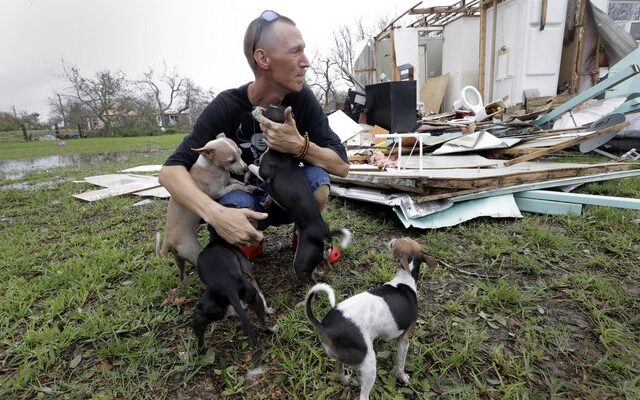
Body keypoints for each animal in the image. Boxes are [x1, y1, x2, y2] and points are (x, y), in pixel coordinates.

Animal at [156, 134, 254, 284]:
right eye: (231, 161)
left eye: (241, 154)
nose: (246, 169)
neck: (213, 167)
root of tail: (168, 241)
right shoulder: (218, 191)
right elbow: (235, 187)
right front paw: (248, 188)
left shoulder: (228, 181)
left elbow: (236, 182)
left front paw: (250, 185)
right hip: (193, 252)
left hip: (178, 259)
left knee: (181, 276)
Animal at [251, 104, 348, 282]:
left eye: (267, 109)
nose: (255, 106)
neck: (281, 151)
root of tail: (325, 237)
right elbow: (268, 196)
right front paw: (266, 202)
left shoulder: (264, 173)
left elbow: (251, 166)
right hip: (319, 256)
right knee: (327, 266)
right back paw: (321, 272)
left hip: (301, 262)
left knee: (310, 281)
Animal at [304, 238, 436, 400]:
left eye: (397, 242)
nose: (391, 239)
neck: (404, 279)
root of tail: (326, 327)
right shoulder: (404, 339)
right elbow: (400, 363)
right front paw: (403, 377)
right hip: (369, 364)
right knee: (363, 395)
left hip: (342, 358)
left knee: (339, 370)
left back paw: (345, 380)